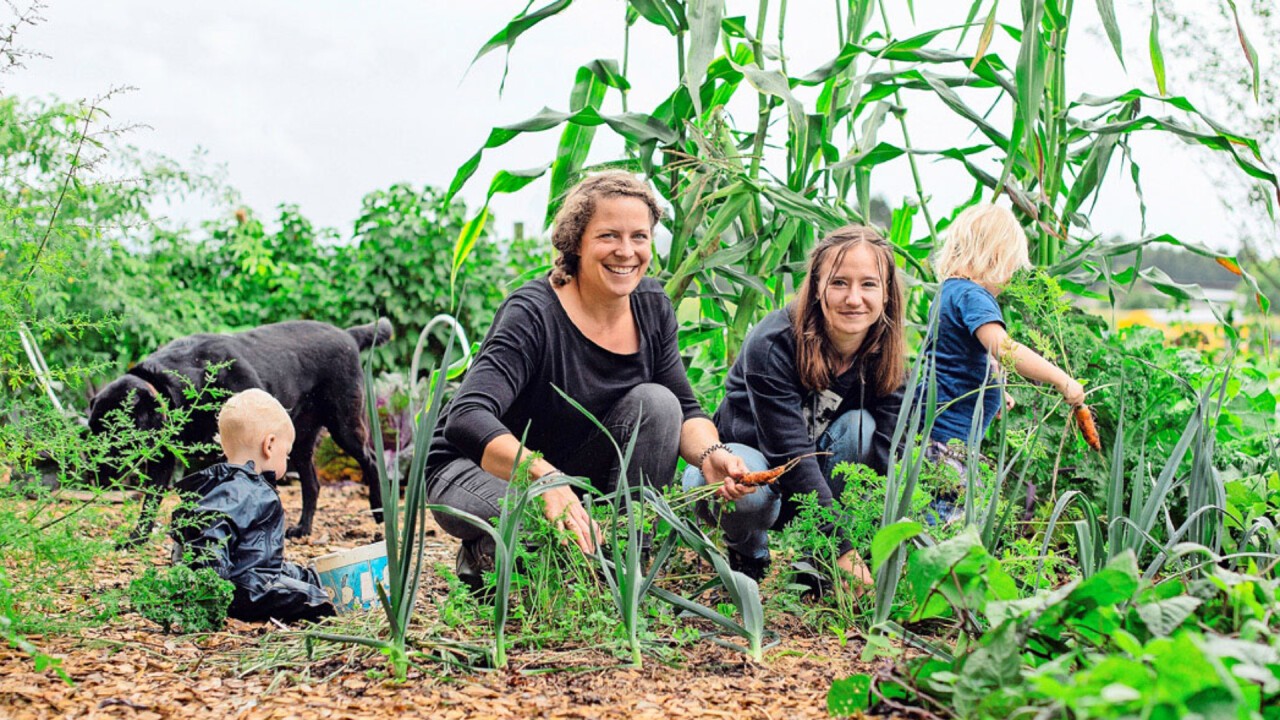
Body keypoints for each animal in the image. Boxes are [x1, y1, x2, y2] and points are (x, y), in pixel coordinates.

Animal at [87, 316, 391, 540]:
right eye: (92, 430)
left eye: (114, 435)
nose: (91, 475)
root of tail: (348, 334)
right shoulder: (170, 461)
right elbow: (152, 502)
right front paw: (137, 539)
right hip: (299, 442)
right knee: (312, 484)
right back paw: (303, 528)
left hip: (345, 426)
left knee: (371, 459)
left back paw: (379, 511)